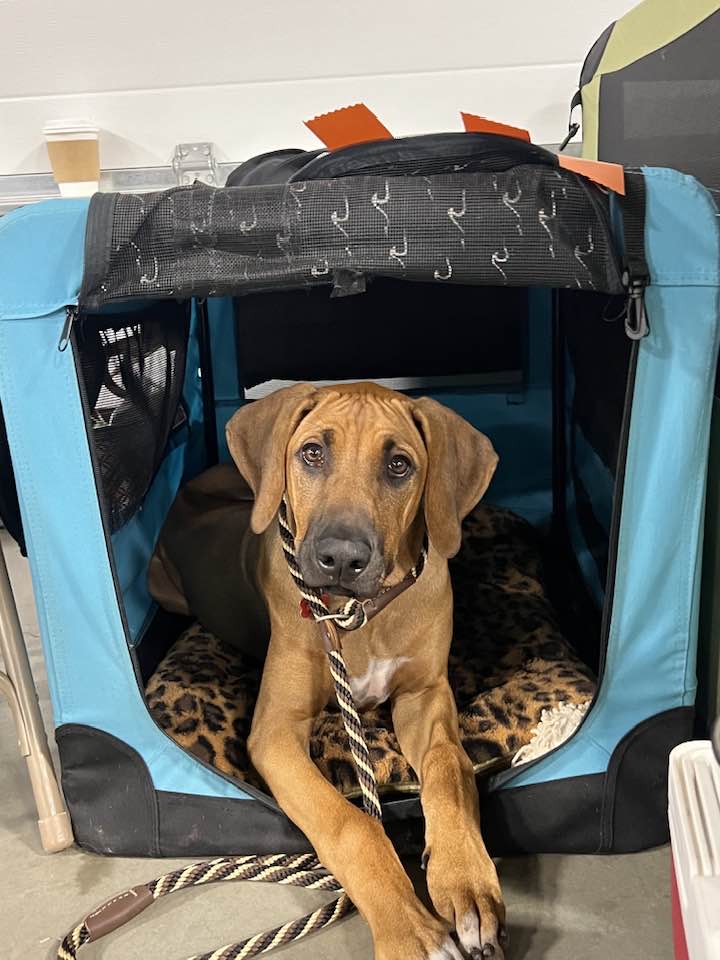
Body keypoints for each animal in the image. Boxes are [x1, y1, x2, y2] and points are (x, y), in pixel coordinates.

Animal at [149, 381, 505, 960]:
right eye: (313, 453)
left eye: (399, 465)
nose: (340, 557)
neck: (360, 614)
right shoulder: (275, 733)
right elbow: (350, 825)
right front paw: (411, 931)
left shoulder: (425, 694)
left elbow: (450, 768)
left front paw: (466, 881)